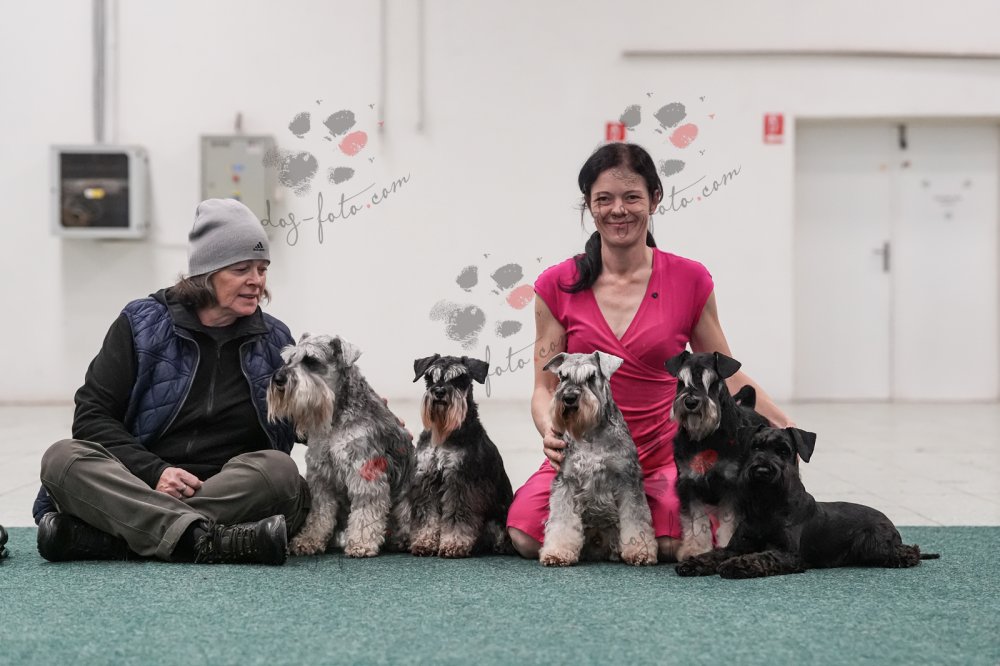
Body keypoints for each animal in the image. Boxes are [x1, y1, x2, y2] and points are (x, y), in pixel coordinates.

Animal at [267, 333, 414, 558]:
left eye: (311, 360)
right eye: (289, 359)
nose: (278, 379)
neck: (335, 418)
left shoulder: (364, 472)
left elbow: (364, 512)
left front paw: (361, 543)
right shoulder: (321, 477)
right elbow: (320, 514)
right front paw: (308, 540)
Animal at [408, 354, 514, 558]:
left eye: (459, 379)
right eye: (429, 378)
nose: (439, 392)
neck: (444, 434)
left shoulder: (461, 482)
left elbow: (459, 516)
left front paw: (453, 544)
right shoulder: (427, 479)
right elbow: (427, 515)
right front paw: (424, 542)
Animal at [538, 351, 658, 567]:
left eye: (591, 377)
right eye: (562, 376)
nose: (569, 397)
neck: (589, 433)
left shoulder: (627, 481)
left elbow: (635, 520)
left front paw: (640, 551)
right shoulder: (566, 482)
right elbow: (562, 520)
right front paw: (557, 552)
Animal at [664, 350, 769, 561]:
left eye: (712, 381)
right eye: (681, 380)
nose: (691, 402)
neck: (706, 437)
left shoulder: (732, 487)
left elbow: (730, 521)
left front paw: (728, 547)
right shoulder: (689, 485)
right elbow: (697, 522)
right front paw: (695, 549)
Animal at [675, 426, 939, 579]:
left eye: (783, 450)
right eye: (755, 447)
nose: (761, 470)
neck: (766, 505)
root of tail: (891, 523)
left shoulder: (787, 553)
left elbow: (761, 557)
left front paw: (736, 566)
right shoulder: (736, 546)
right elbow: (715, 554)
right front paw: (693, 564)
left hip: (874, 544)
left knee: (909, 550)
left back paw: (905, 558)